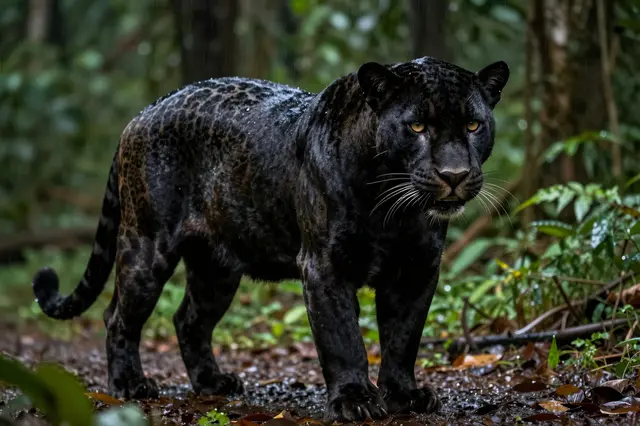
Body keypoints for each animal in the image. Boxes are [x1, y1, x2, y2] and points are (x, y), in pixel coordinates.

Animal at [32, 56, 509, 423]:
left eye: (472, 125)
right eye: (417, 127)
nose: (454, 175)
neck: (393, 212)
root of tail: (142, 113)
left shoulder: (417, 270)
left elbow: (403, 338)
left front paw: (403, 396)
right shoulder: (325, 268)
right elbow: (343, 339)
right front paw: (354, 401)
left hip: (216, 269)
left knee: (188, 319)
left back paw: (213, 383)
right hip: (146, 247)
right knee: (118, 316)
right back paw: (130, 385)